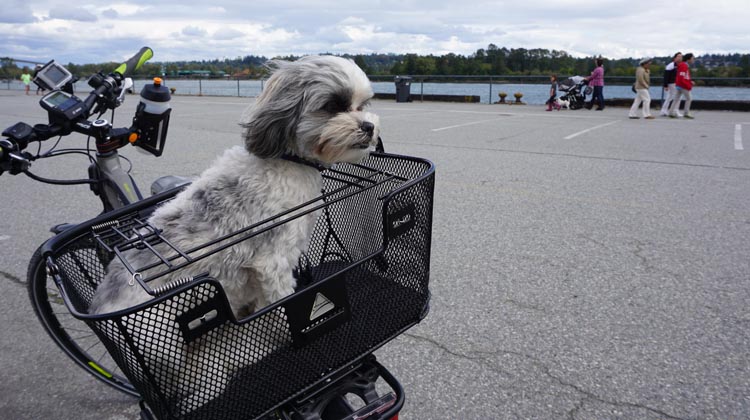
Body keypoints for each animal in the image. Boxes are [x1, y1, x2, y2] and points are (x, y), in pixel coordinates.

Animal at [88, 55, 382, 410]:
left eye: (362, 105)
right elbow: (285, 307)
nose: (368, 127)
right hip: (162, 342)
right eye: (333, 106)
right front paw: (289, 335)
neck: (287, 160)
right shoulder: (273, 264)